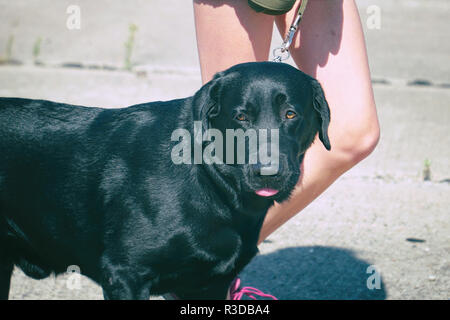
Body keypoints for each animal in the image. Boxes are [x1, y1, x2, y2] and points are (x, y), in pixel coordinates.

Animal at [0, 61, 330, 298]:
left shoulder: (209, 284)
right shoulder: (124, 275)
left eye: (290, 114)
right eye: (240, 117)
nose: (267, 171)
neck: (208, 178)